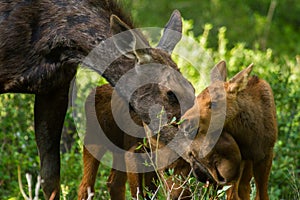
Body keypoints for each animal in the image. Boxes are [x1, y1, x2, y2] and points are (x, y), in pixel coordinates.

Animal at [179, 61, 278, 200]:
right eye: (196, 99)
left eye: (213, 103)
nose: (183, 123)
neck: (250, 138)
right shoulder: (237, 163)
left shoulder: (266, 154)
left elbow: (262, 195)